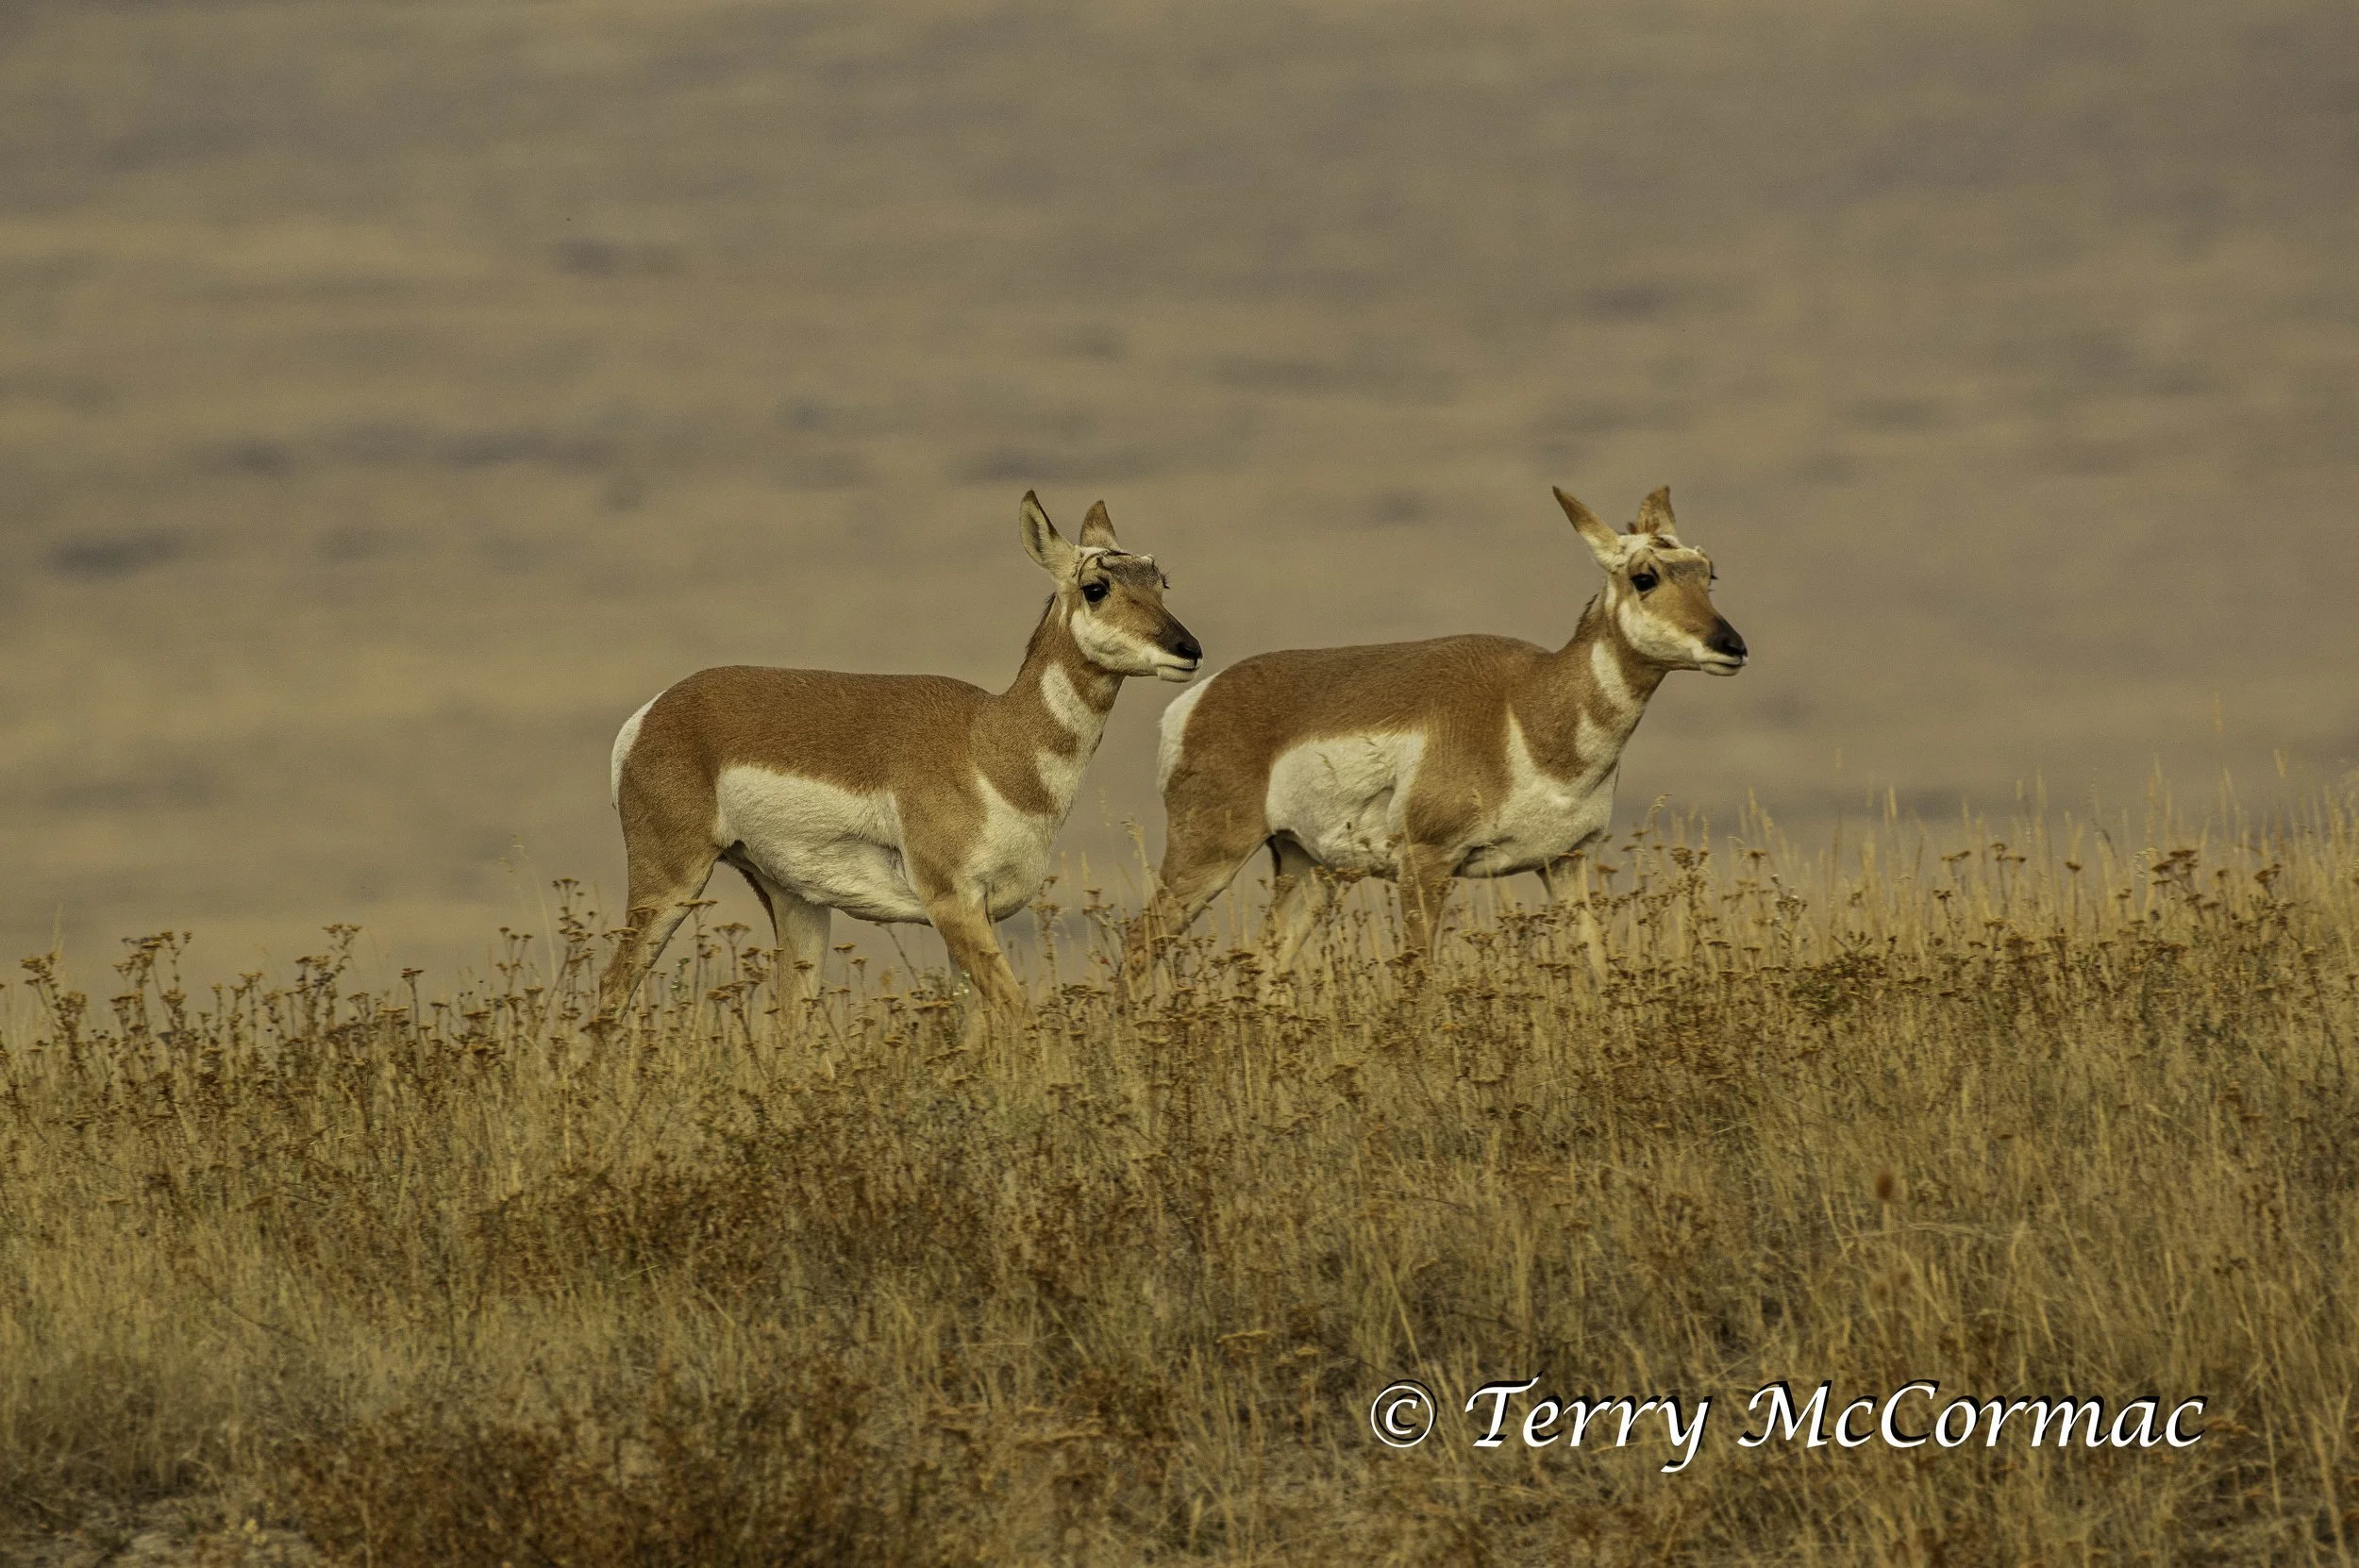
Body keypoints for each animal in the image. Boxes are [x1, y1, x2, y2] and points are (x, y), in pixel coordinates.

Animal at [600, 492, 1201, 1030]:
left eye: (1160, 582)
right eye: (1096, 588)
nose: (1188, 649)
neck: (991, 743)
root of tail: (654, 713)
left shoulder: (979, 916)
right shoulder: (953, 905)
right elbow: (1020, 1016)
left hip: (797, 904)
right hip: (669, 882)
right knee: (612, 990)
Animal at [1138, 485, 1744, 974]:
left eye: (1708, 572)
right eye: (1645, 577)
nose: (1732, 646)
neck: (1527, 711)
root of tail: (1202, 695)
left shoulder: (1566, 864)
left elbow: (1597, 972)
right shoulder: (1426, 862)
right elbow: (1419, 983)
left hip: (1311, 870)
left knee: (1266, 967)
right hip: (1208, 857)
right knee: (1139, 947)